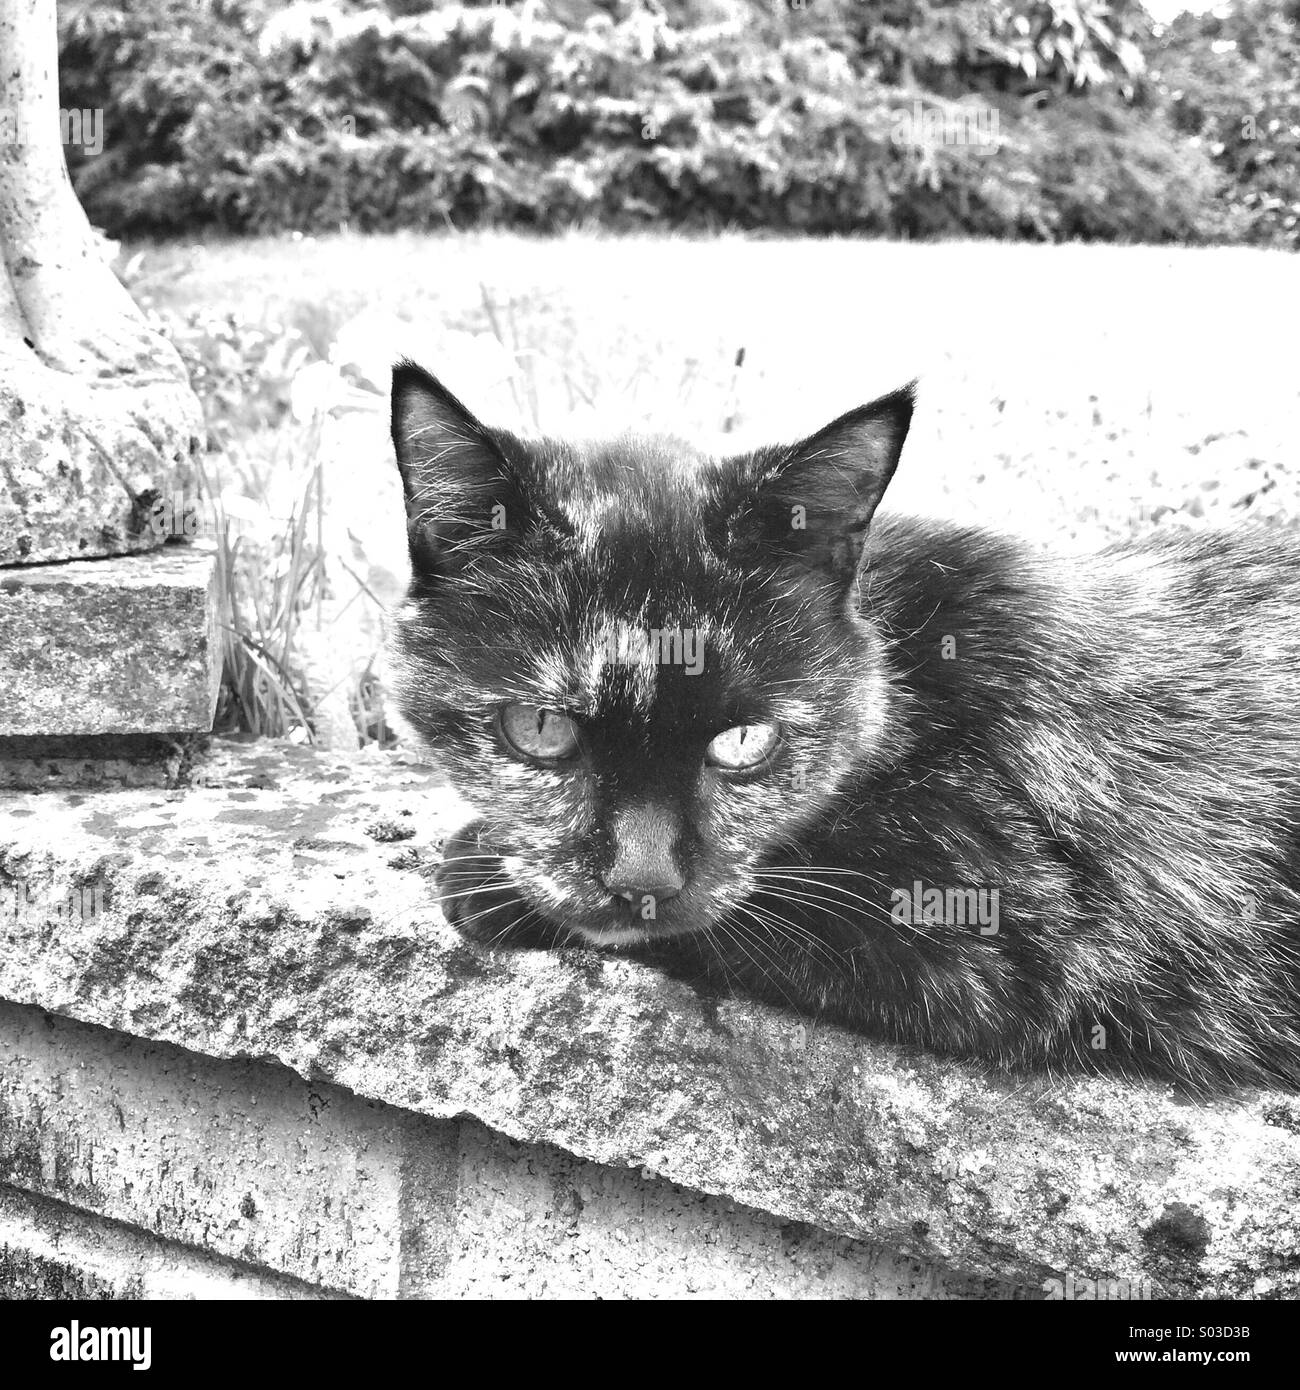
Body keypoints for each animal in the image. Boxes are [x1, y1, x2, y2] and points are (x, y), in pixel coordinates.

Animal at [392, 361, 1300, 1095]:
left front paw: (476, 870)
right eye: (541, 728)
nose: (642, 879)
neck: (907, 668)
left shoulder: (993, 927)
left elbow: (768, 904)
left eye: (744, 743)